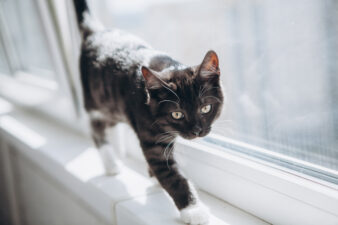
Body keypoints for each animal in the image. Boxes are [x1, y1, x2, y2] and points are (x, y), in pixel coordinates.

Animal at [72, 0, 223, 224]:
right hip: (97, 100)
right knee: (95, 126)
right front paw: (194, 210)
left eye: (205, 108)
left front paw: (153, 178)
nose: (197, 131)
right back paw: (110, 163)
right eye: (177, 114)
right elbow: (171, 175)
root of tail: (95, 31)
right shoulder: (150, 135)